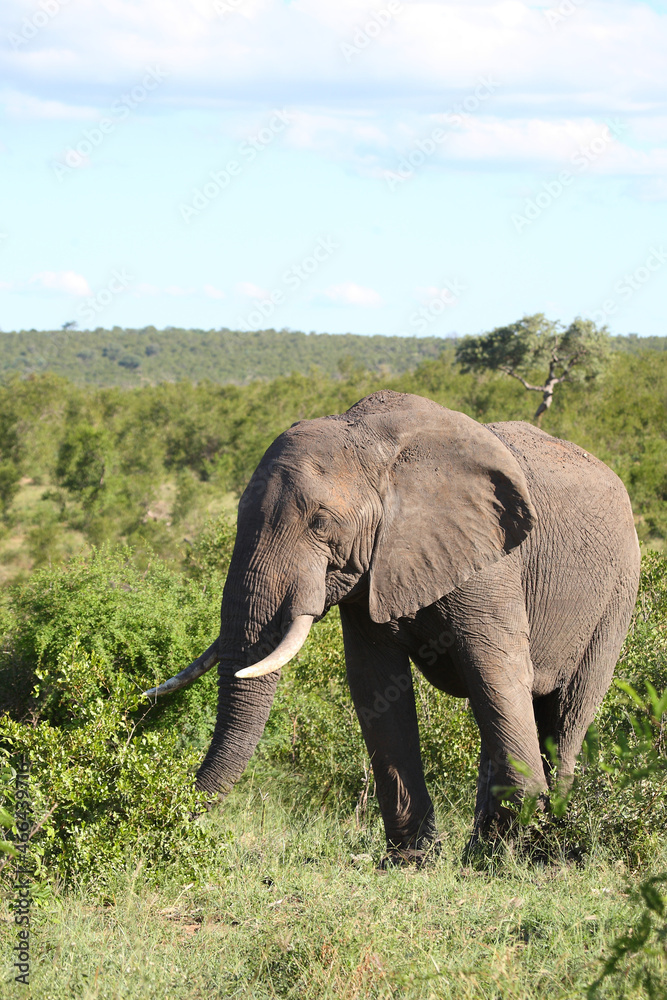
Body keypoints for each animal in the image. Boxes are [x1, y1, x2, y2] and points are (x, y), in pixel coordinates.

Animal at [145, 388, 640, 860]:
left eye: (321, 523)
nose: (161, 814)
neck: (379, 448)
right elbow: (375, 683)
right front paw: (411, 860)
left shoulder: (491, 561)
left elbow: (494, 670)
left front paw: (502, 858)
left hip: (617, 596)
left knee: (564, 713)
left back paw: (543, 848)